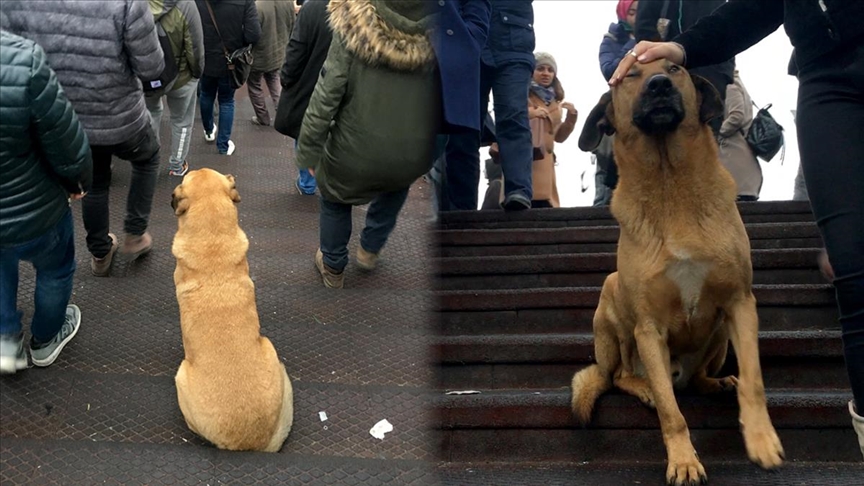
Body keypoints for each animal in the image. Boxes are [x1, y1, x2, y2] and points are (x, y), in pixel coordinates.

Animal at [572, 59, 788, 482]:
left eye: (674, 68)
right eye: (630, 77)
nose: (659, 85)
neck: (669, 182)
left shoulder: (740, 304)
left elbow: (754, 382)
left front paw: (761, 440)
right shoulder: (648, 329)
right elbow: (673, 414)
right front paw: (684, 460)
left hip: (719, 334)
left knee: (699, 379)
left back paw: (716, 383)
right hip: (613, 302)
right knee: (619, 376)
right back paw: (644, 388)